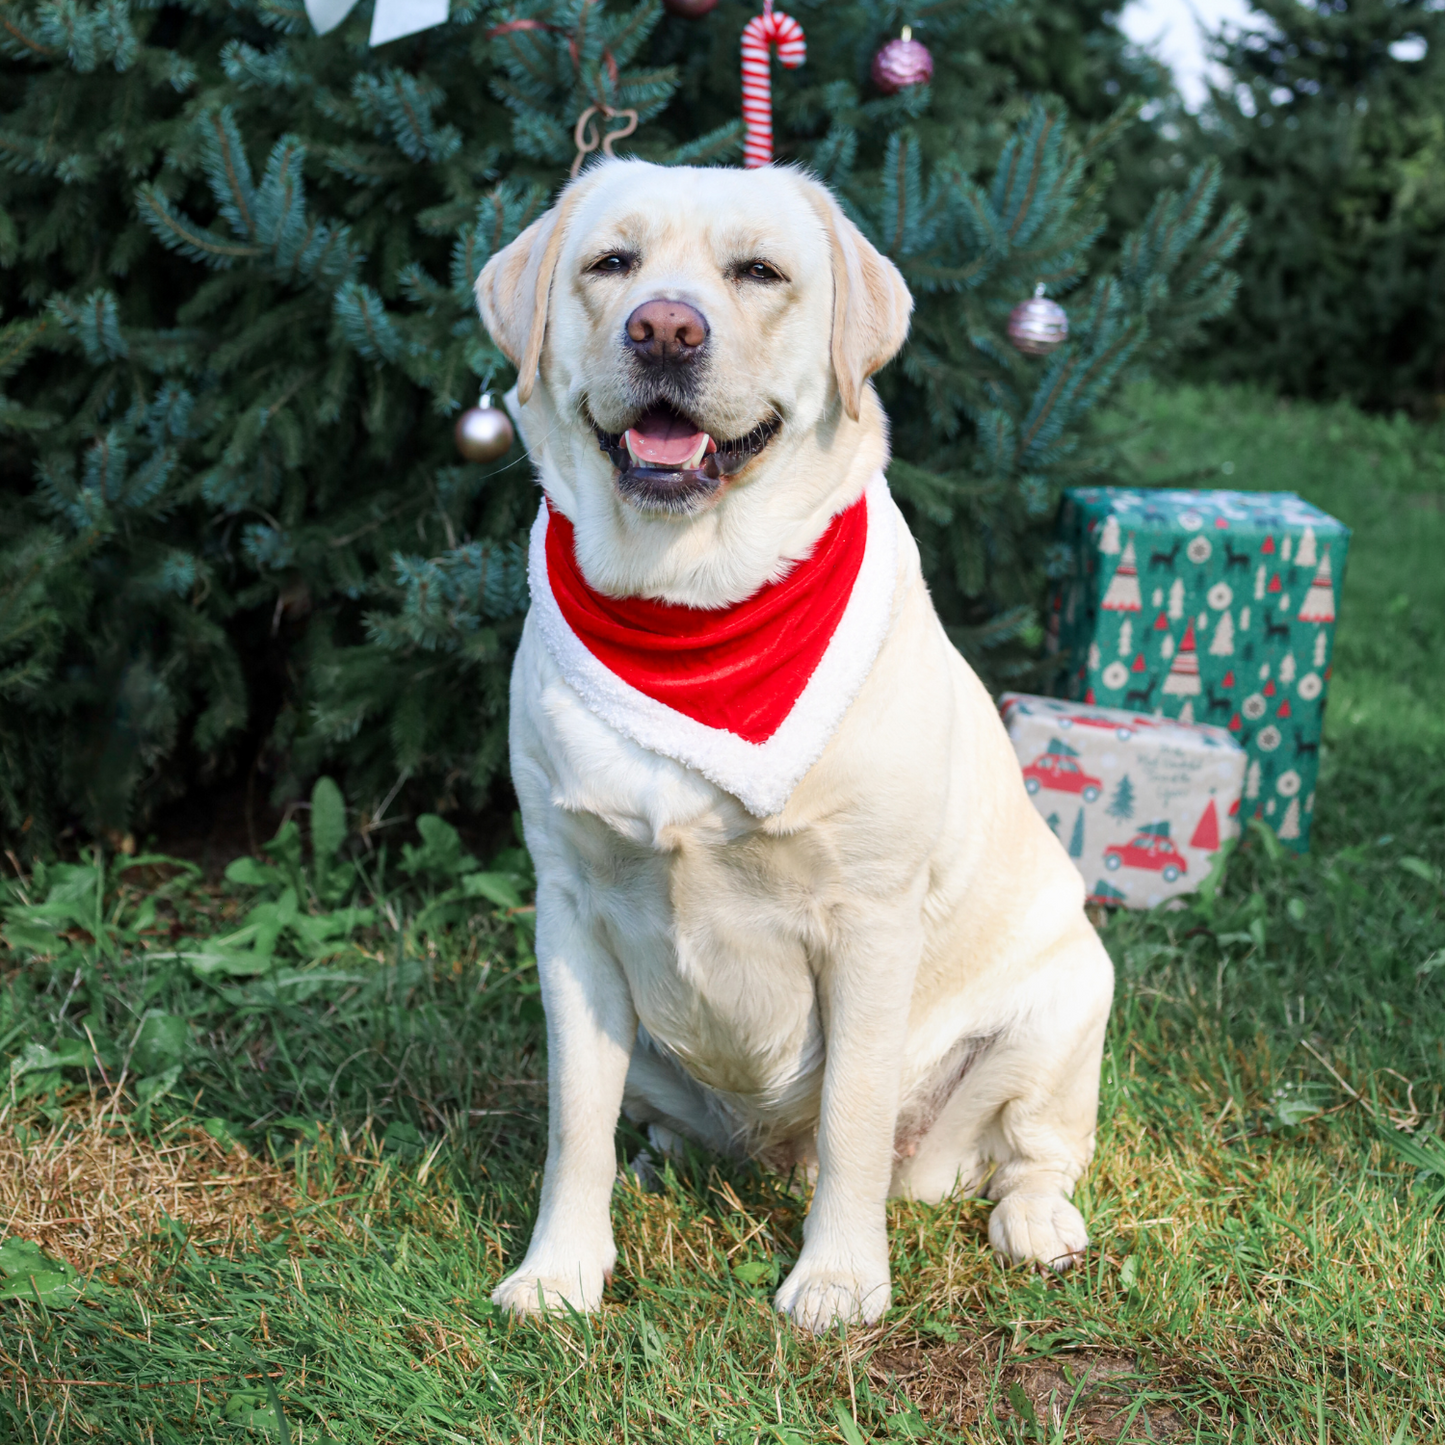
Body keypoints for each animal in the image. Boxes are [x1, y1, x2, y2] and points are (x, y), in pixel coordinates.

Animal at [479, 155, 1109, 1329]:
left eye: (758, 272)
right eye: (611, 262)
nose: (664, 329)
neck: (693, 606)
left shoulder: (866, 920)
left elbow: (851, 1113)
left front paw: (839, 1277)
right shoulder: (571, 912)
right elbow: (572, 1124)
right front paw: (560, 1269)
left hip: (1068, 1002)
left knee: (1028, 1148)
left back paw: (1033, 1220)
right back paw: (662, 1162)